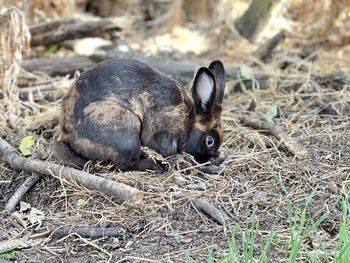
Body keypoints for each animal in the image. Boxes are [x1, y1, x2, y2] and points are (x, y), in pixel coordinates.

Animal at [54, 58, 224, 171]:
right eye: (210, 141)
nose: (207, 159)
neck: (188, 121)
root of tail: (68, 136)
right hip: (126, 132)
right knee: (125, 164)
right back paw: (156, 165)